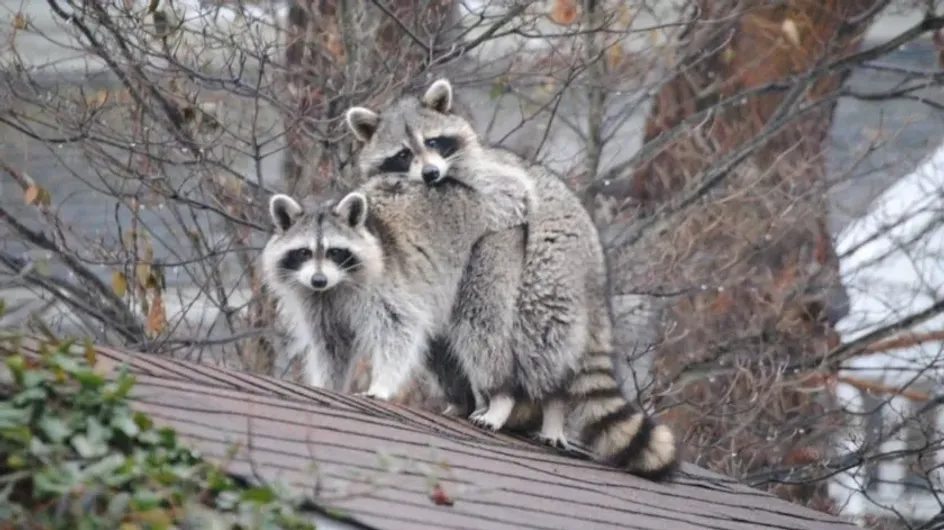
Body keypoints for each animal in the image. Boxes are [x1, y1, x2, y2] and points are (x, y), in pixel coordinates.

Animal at [262, 173, 528, 400]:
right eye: (304, 253)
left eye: (335, 252)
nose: (319, 280)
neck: (335, 285)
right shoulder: (317, 304)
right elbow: (331, 346)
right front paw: (328, 384)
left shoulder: (386, 284)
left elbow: (398, 329)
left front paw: (382, 383)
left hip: (492, 249)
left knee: (480, 320)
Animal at [346, 78, 680, 478]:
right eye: (402, 154)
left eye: (433, 142)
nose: (430, 175)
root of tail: (593, 268)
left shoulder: (482, 178)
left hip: (546, 267)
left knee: (534, 335)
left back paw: (545, 405)